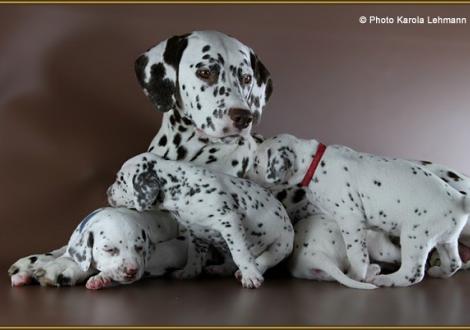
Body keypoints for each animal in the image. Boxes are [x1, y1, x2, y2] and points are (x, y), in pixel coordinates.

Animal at [9, 29, 274, 284]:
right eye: (205, 72)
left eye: (246, 78)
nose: (244, 117)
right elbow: (71, 243)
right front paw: (38, 260)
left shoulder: (183, 238)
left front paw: (64, 266)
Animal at [106, 152, 294, 288]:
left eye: (120, 181)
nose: (107, 192)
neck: (183, 189)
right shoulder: (197, 233)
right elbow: (194, 255)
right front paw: (188, 272)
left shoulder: (229, 222)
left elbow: (240, 253)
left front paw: (250, 276)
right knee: (229, 262)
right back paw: (219, 268)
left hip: (281, 246)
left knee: (263, 260)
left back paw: (250, 271)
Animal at [250, 134, 470, 286]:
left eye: (256, 162)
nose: (245, 176)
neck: (317, 162)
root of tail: (459, 201)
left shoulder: (350, 219)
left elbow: (357, 254)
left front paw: (357, 275)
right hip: (446, 240)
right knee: (454, 263)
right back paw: (438, 271)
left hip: (415, 236)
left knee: (412, 274)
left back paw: (385, 280)